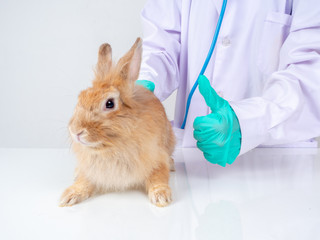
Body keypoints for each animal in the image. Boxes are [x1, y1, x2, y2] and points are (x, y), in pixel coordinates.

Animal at [58, 38, 176, 207]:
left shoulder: (157, 158)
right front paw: (69, 195)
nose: (75, 131)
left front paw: (161, 196)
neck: (111, 146)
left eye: (109, 103)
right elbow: (84, 180)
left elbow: (158, 176)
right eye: (81, 96)